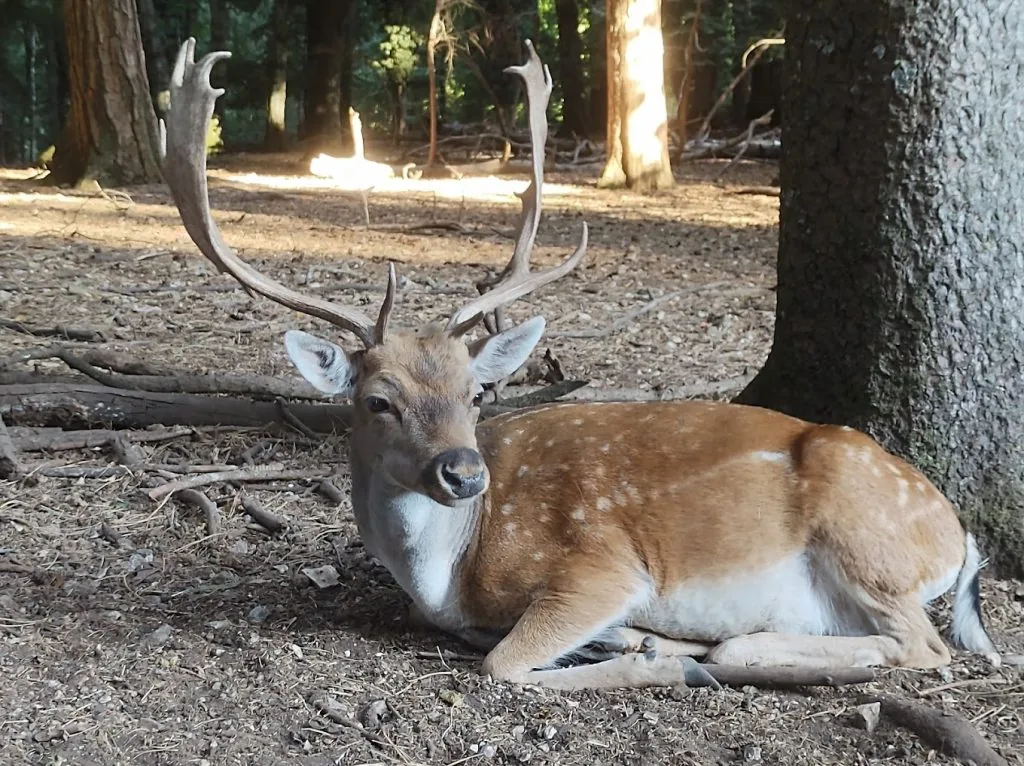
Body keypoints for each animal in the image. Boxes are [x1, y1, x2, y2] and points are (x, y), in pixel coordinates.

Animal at [159, 38, 999, 692]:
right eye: (377, 400)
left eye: (476, 392)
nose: (464, 471)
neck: (449, 573)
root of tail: (960, 539)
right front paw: (644, 644)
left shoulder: (600, 567)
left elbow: (502, 662)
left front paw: (656, 657)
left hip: (868, 543)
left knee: (926, 649)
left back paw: (721, 651)